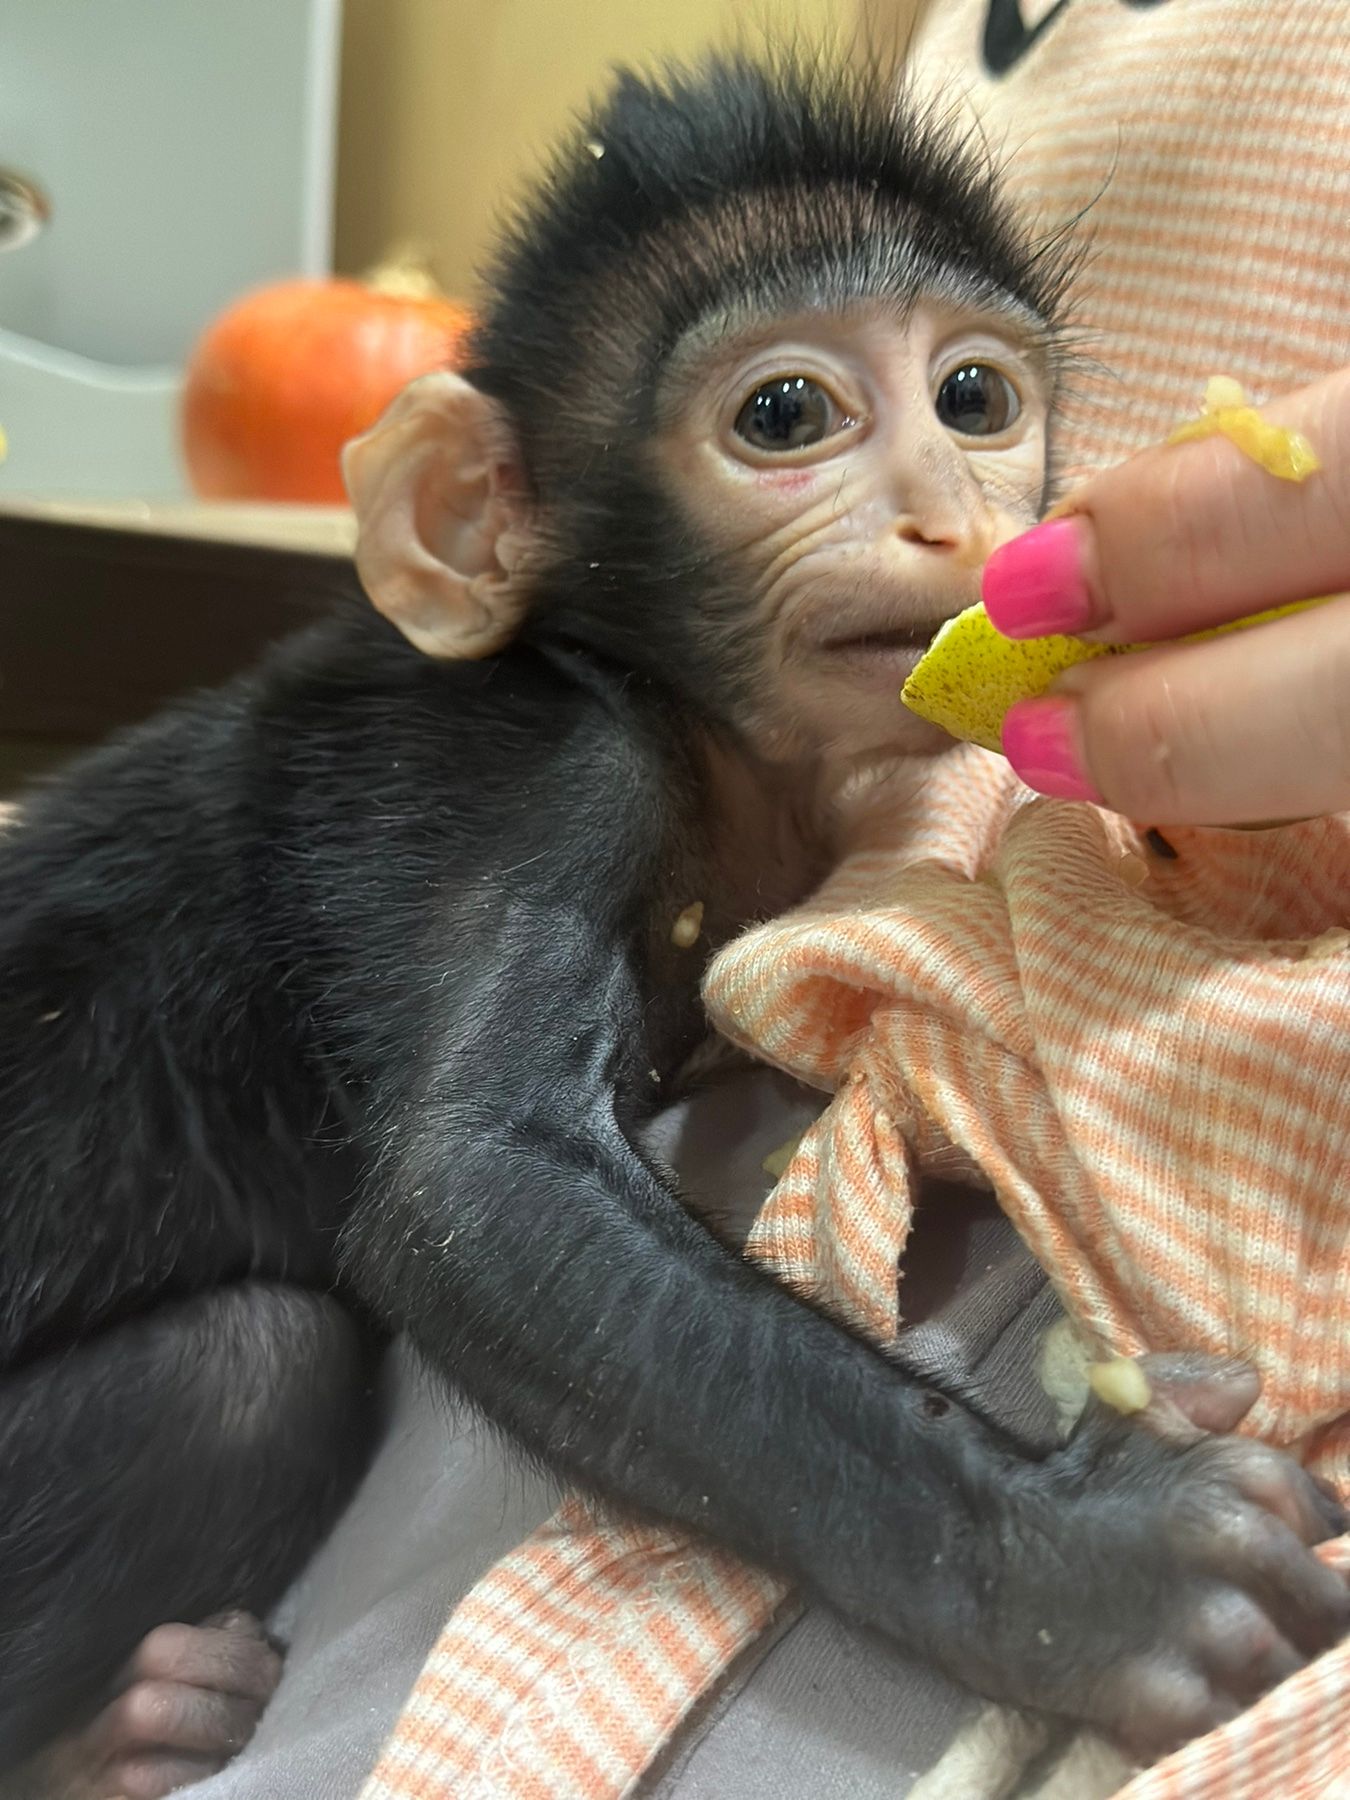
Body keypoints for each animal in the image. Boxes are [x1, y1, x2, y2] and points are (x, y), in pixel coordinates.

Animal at [2, 49, 1350, 1792]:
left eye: (974, 401)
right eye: (783, 416)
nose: (945, 518)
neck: (695, 724)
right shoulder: (516, 755)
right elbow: (476, 1188)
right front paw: (1083, 1566)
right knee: (246, 1371)